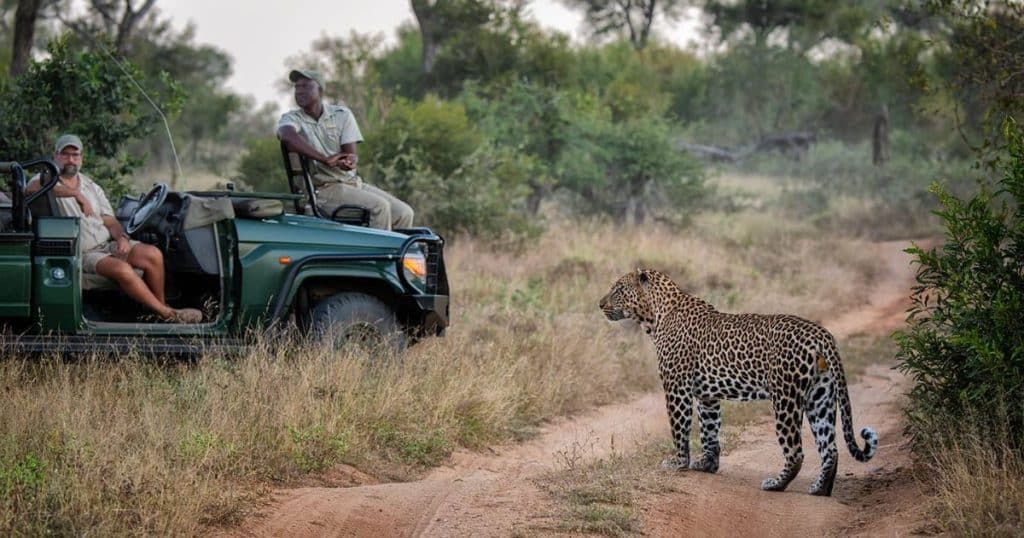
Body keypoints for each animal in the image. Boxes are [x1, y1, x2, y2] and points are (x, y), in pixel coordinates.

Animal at [599, 268, 877, 496]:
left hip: (785, 397)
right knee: (830, 448)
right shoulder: (707, 395)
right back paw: (820, 489)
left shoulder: (676, 387)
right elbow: (710, 429)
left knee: (796, 451)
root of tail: (821, 334)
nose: (600, 304)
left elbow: (679, 428)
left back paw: (776, 484)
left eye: (618, 290)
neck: (655, 316)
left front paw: (678, 462)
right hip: (820, 395)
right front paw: (706, 464)